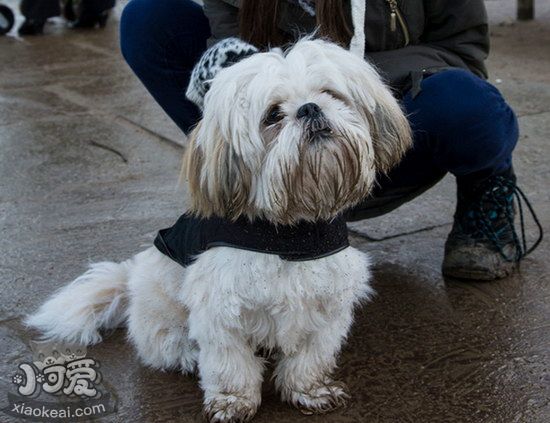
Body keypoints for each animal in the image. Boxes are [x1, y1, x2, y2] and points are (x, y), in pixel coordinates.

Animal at [27, 38, 414, 422]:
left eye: (329, 93)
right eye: (273, 115)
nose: (310, 109)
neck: (289, 231)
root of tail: (130, 279)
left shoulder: (326, 302)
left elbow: (311, 355)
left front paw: (310, 390)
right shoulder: (221, 307)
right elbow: (230, 362)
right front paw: (232, 401)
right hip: (161, 307)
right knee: (162, 342)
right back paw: (185, 353)